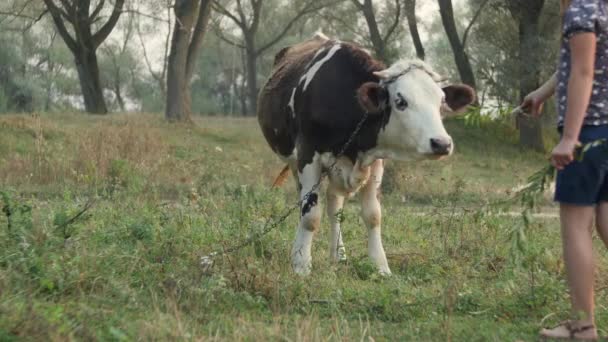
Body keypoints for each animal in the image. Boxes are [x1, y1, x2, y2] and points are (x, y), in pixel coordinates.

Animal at [256, 34, 476, 276]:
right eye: (400, 101)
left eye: (441, 102)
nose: (442, 143)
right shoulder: (308, 155)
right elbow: (310, 216)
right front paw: (301, 265)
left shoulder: (375, 162)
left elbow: (373, 215)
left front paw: (380, 266)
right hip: (296, 163)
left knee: (335, 206)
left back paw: (339, 256)